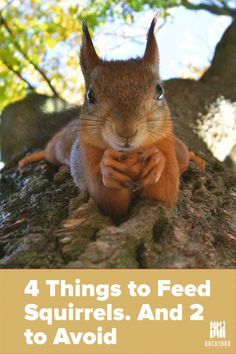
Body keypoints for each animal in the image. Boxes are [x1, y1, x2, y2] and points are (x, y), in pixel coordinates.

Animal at [19, 18, 205, 220]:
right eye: (90, 95)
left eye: (159, 91)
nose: (126, 131)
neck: (130, 155)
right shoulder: (87, 155)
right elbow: (108, 200)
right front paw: (108, 166)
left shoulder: (167, 146)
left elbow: (164, 193)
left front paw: (156, 161)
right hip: (60, 146)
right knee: (49, 151)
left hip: (179, 150)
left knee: (185, 154)